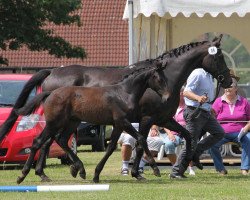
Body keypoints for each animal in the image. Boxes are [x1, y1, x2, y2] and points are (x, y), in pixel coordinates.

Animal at [15, 61, 168, 184]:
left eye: (165, 78)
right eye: (159, 79)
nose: (167, 97)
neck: (124, 93)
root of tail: (50, 94)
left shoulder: (118, 124)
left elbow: (110, 147)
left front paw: (96, 175)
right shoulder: (123, 122)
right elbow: (141, 138)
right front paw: (155, 169)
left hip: (71, 122)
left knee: (61, 140)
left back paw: (79, 169)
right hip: (54, 123)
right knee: (39, 141)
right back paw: (23, 175)